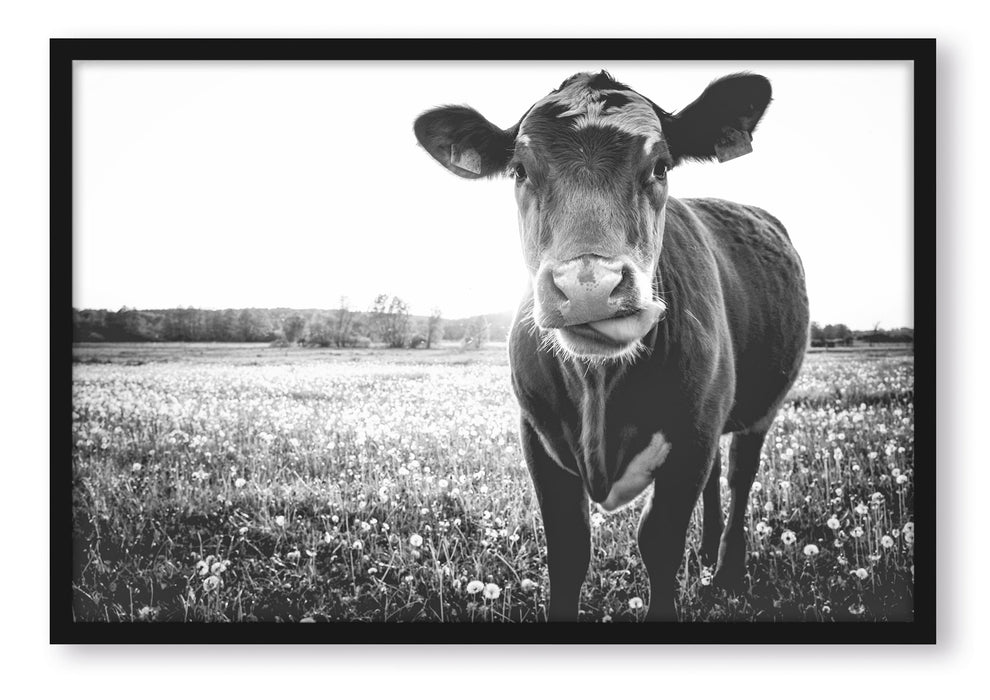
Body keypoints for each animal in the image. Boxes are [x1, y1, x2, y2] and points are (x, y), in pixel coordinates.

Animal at [413, 71, 809, 621]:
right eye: (519, 170)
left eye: (660, 165)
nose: (588, 285)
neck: (599, 388)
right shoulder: (538, 437)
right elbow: (568, 549)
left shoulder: (692, 436)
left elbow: (659, 542)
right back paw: (707, 551)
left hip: (758, 409)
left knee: (739, 475)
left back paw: (727, 570)